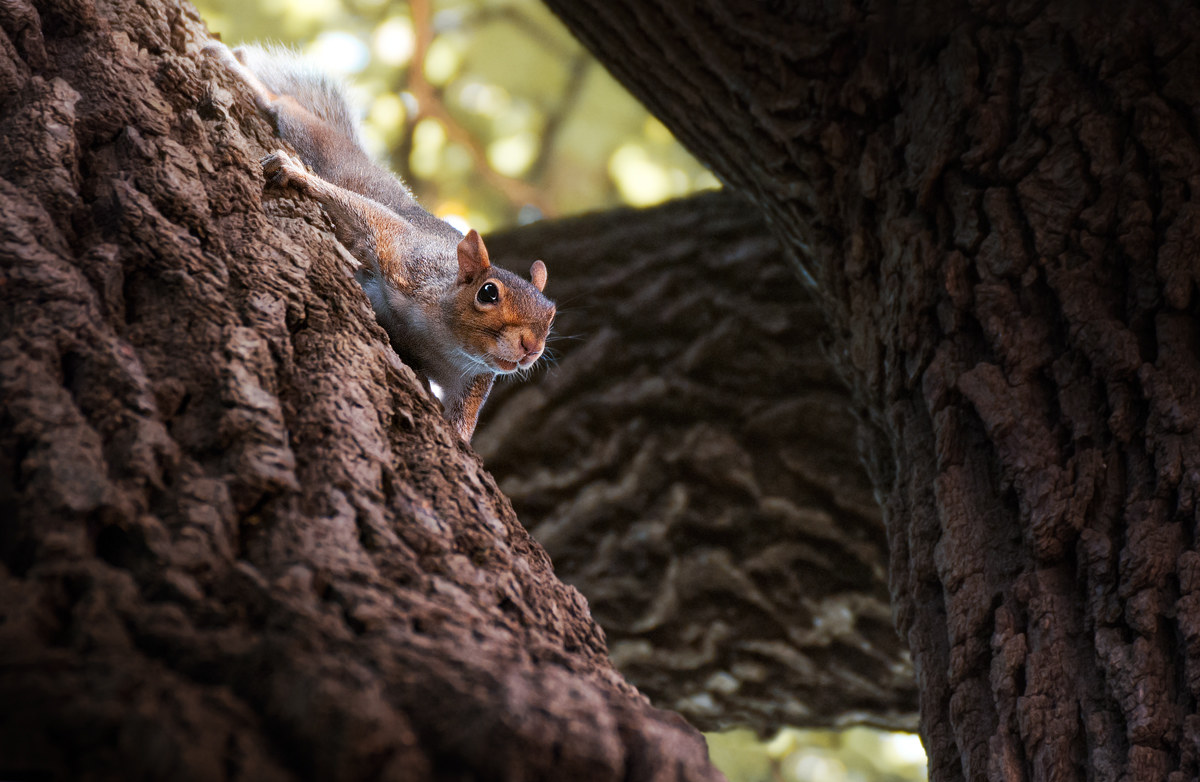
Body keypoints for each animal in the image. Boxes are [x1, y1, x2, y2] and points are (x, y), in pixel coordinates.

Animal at [204, 42, 556, 442]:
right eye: (488, 293)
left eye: (551, 315)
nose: (532, 348)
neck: (443, 338)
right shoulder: (405, 255)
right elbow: (365, 213)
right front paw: (296, 174)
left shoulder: (472, 380)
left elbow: (461, 426)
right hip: (327, 149)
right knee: (289, 108)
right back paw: (238, 68)